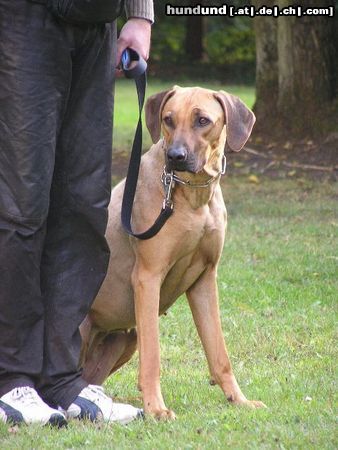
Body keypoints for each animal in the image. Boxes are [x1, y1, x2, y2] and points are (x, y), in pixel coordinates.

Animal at [80, 85, 266, 418]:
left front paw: (239, 400)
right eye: (168, 119)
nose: (175, 156)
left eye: (203, 120)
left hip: (124, 340)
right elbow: (153, 356)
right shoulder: (147, 277)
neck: (191, 195)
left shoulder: (205, 279)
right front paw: (156, 409)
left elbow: (219, 353)